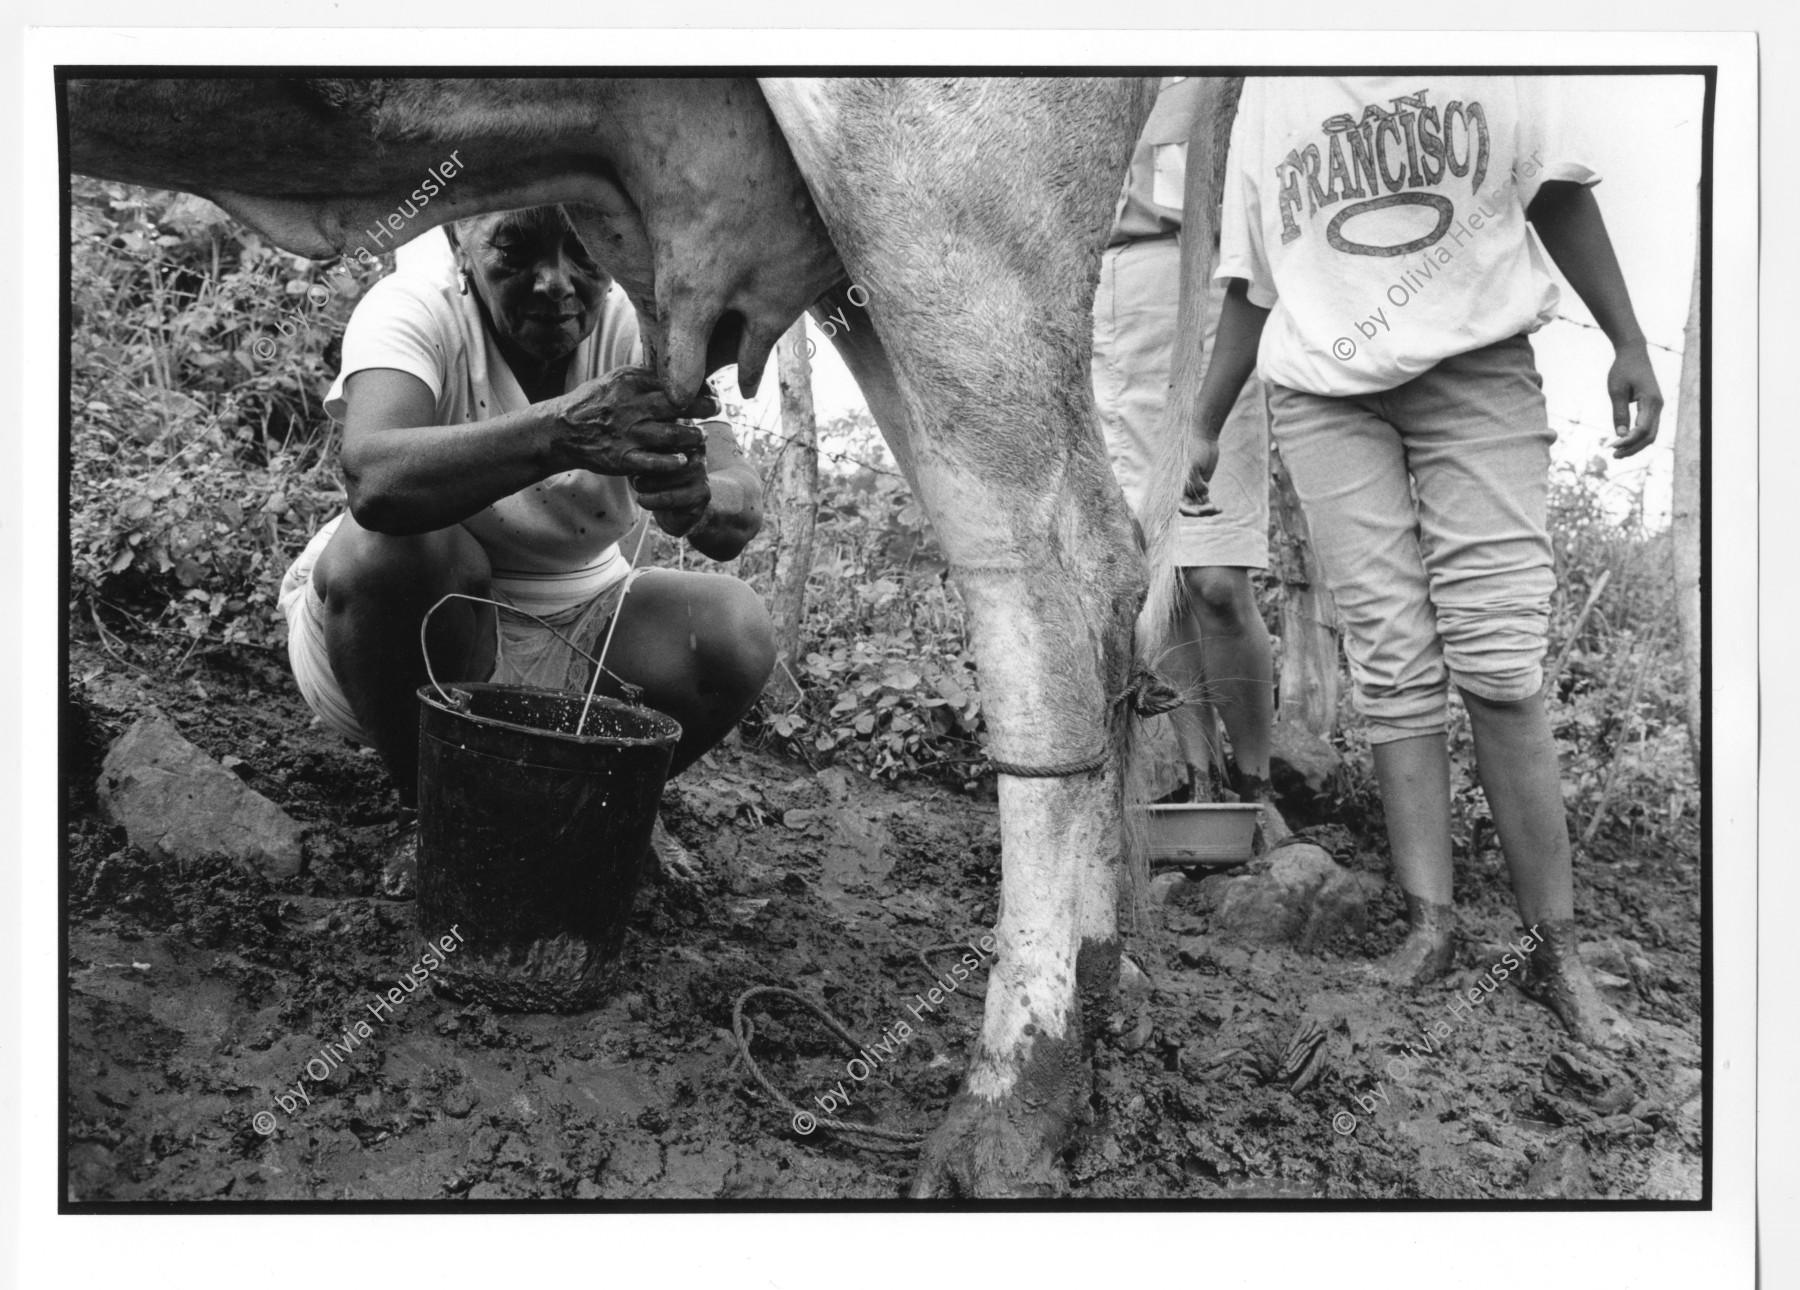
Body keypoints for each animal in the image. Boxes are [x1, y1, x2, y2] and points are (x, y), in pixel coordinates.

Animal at [59, 72, 1238, 1194]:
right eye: (518, 256)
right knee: (1097, 571)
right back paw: (1106, 993)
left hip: (944, 204)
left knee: (1053, 584)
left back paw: (1015, 1102)